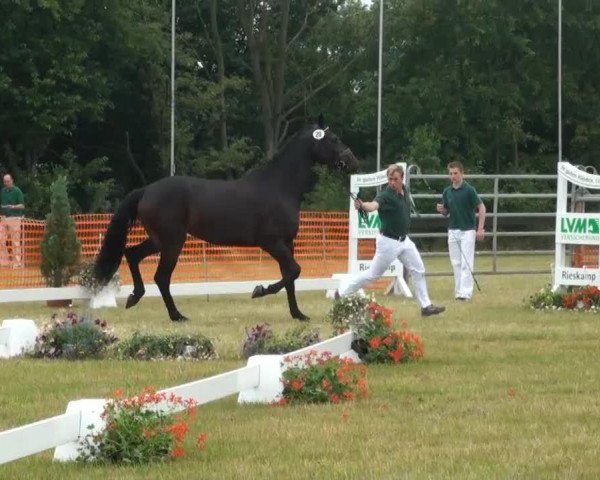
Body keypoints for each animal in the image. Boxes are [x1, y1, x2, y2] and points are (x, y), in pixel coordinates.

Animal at [94, 120, 356, 322]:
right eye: (333, 139)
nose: (353, 162)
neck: (280, 187)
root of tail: (147, 190)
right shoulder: (271, 242)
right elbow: (294, 270)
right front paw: (259, 290)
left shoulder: (287, 243)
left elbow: (291, 277)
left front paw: (298, 314)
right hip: (172, 243)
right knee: (161, 277)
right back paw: (177, 316)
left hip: (159, 240)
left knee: (132, 254)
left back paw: (134, 297)